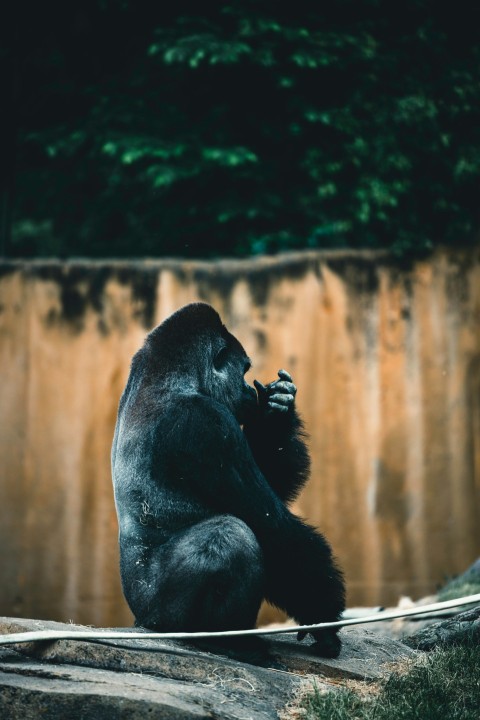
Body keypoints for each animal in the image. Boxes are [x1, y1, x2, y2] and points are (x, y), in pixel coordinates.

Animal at [112, 304, 344, 660]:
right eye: (244, 369)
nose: (249, 392)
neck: (169, 375)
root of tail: (141, 621)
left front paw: (278, 414)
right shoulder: (208, 424)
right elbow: (272, 525)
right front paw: (324, 617)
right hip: (160, 614)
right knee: (230, 534)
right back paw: (225, 640)